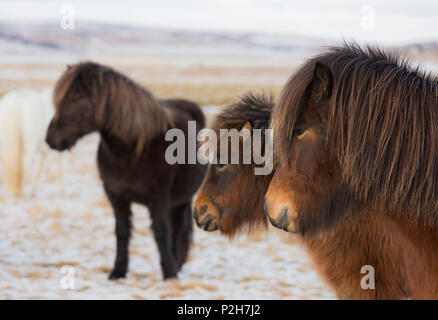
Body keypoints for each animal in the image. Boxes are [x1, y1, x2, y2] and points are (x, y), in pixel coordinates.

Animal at [45, 62, 208, 280]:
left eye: (76, 97)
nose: (50, 138)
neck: (132, 152)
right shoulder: (116, 195)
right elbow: (122, 231)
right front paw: (118, 272)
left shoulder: (158, 196)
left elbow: (160, 231)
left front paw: (169, 272)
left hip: (182, 199)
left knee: (178, 227)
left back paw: (176, 262)